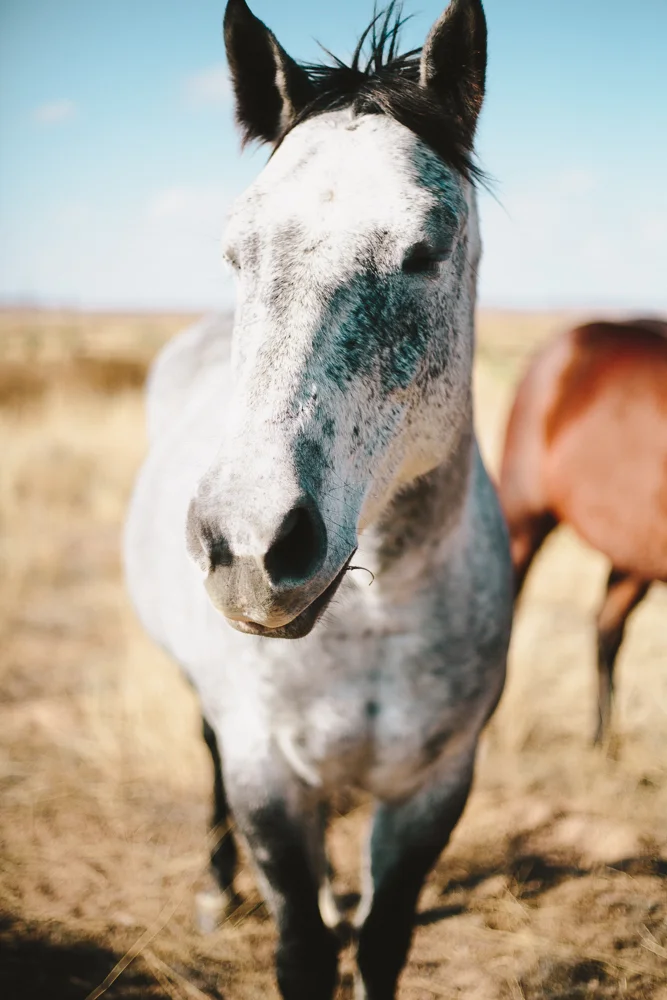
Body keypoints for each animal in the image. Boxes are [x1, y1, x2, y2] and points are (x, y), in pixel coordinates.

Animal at [124, 1, 512, 996]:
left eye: (425, 249)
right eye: (236, 249)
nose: (250, 545)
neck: (373, 621)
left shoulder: (434, 787)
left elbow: (380, 941)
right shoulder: (268, 778)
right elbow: (301, 948)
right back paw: (216, 890)